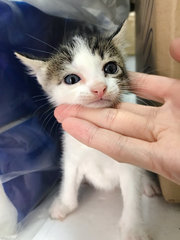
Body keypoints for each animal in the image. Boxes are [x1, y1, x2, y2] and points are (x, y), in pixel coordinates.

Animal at [15, 24, 159, 240]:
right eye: (71, 79)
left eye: (110, 68)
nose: (99, 88)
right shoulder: (71, 153)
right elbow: (68, 178)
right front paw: (65, 204)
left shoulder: (128, 163)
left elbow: (132, 194)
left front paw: (133, 227)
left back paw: (148, 184)